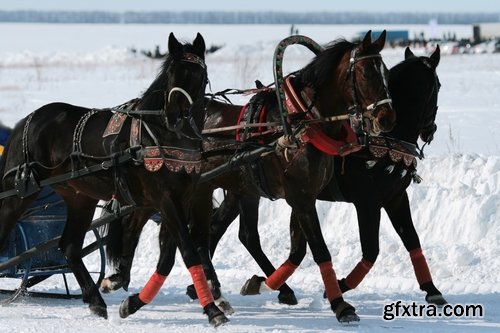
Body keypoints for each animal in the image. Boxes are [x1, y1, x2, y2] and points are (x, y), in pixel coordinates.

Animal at [0, 33, 229, 324]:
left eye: (198, 74)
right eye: (171, 73)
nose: (175, 115)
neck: (162, 135)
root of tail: (27, 120)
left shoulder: (183, 198)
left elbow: (169, 258)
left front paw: (131, 302)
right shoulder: (165, 199)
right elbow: (187, 252)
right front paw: (212, 309)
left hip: (79, 197)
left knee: (70, 247)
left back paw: (95, 300)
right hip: (19, 194)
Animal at [108, 31, 394, 322]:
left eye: (385, 72)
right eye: (366, 73)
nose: (387, 118)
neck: (300, 125)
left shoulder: (306, 196)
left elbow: (299, 250)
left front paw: (266, 284)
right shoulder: (300, 197)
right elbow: (320, 250)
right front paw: (341, 305)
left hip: (235, 189)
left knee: (222, 235)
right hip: (196, 191)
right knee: (178, 233)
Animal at [205, 46, 444, 304]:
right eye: (439, 85)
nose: (431, 130)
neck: (384, 142)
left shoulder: (395, 197)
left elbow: (412, 240)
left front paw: (432, 289)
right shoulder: (366, 201)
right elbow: (370, 251)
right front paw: (340, 285)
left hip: (240, 189)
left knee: (221, 227)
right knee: (242, 234)